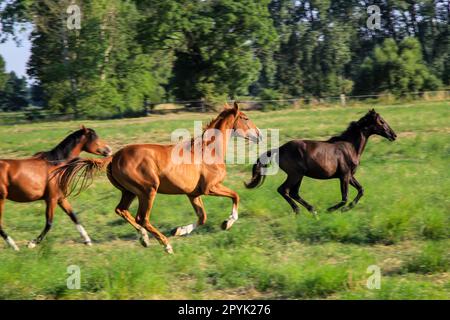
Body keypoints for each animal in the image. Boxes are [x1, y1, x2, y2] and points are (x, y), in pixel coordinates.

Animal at [55, 104, 262, 254]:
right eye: (245, 118)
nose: (259, 135)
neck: (208, 150)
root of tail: (113, 157)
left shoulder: (193, 194)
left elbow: (202, 217)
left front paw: (180, 230)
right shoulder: (210, 187)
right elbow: (235, 196)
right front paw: (228, 222)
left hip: (129, 192)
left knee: (122, 210)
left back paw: (145, 239)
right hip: (148, 190)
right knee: (142, 217)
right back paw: (165, 244)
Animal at [246, 109, 398, 216]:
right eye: (381, 121)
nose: (394, 135)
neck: (350, 147)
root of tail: (279, 149)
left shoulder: (350, 176)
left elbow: (361, 190)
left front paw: (346, 209)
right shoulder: (344, 176)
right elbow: (345, 198)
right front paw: (332, 210)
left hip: (299, 176)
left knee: (294, 192)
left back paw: (312, 210)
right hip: (295, 174)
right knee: (284, 190)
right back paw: (299, 210)